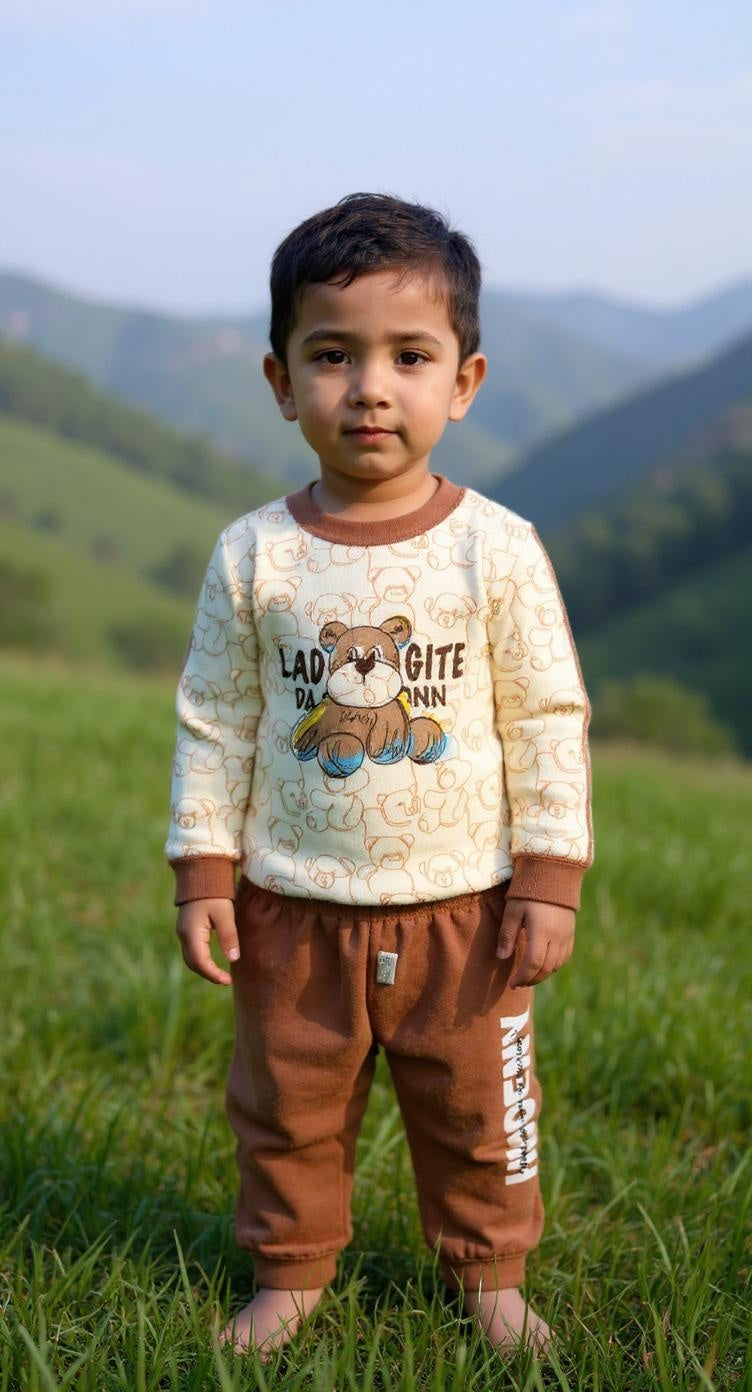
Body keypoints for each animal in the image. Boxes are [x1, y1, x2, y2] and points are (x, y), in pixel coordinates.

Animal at [291, 616, 447, 779]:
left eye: (376, 654)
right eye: (350, 656)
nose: (364, 664)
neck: (364, 707)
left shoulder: (391, 712)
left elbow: (390, 726)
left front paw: (386, 749)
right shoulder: (324, 712)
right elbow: (309, 728)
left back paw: (429, 737)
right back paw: (339, 749)